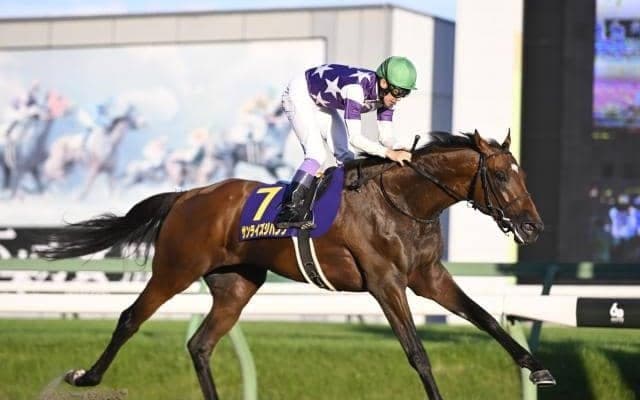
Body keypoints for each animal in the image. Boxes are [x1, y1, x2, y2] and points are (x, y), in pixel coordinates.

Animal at [39, 130, 555, 400]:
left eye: (523, 174)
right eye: (502, 175)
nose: (533, 227)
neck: (404, 201)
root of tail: (187, 195)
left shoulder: (428, 277)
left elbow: (485, 317)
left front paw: (536, 368)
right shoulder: (386, 282)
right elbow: (417, 352)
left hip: (236, 285)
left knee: (201, 344)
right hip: (175, 269)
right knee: (130, 318)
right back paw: (86, 377)